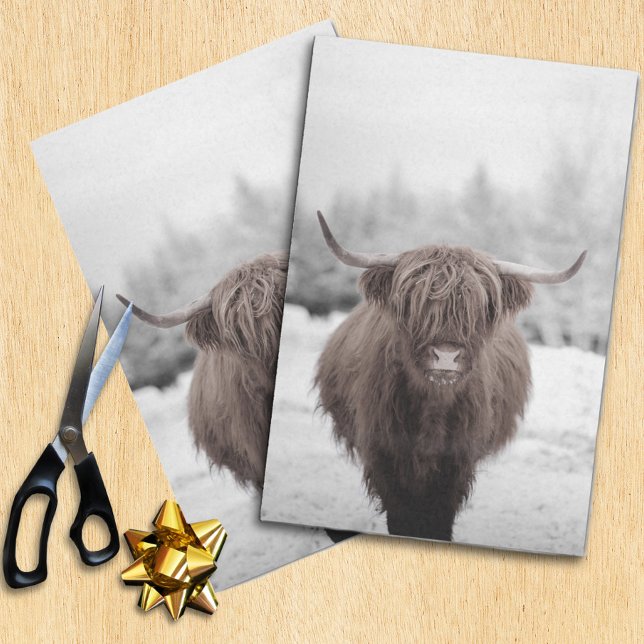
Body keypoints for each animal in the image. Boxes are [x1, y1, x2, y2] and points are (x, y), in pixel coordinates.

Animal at [314, 212, 586, 541]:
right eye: (414, 302)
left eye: (479, 308)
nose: (446, 356)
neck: (432, 408)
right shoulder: (384, 453)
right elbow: (400, 513)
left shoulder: (457, 461)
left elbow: (439, 516)